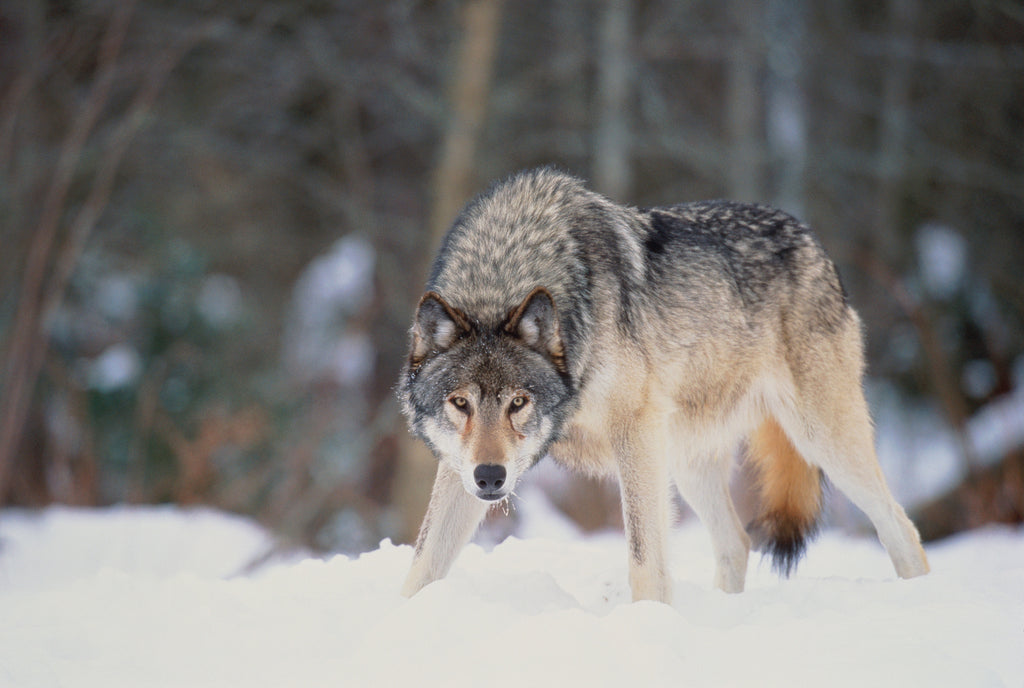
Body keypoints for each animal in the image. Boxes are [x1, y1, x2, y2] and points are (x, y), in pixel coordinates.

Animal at [397, 167, 929, 602]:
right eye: (460, 403)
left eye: (518, 402)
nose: (491, 477)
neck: (505, 272)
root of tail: (810, 237)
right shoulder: (458, 466)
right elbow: (422, 563)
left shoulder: (634, 433)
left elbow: (644, 559)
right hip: (687, 461)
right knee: (737, 543)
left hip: (821, 440)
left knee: (902, 528)